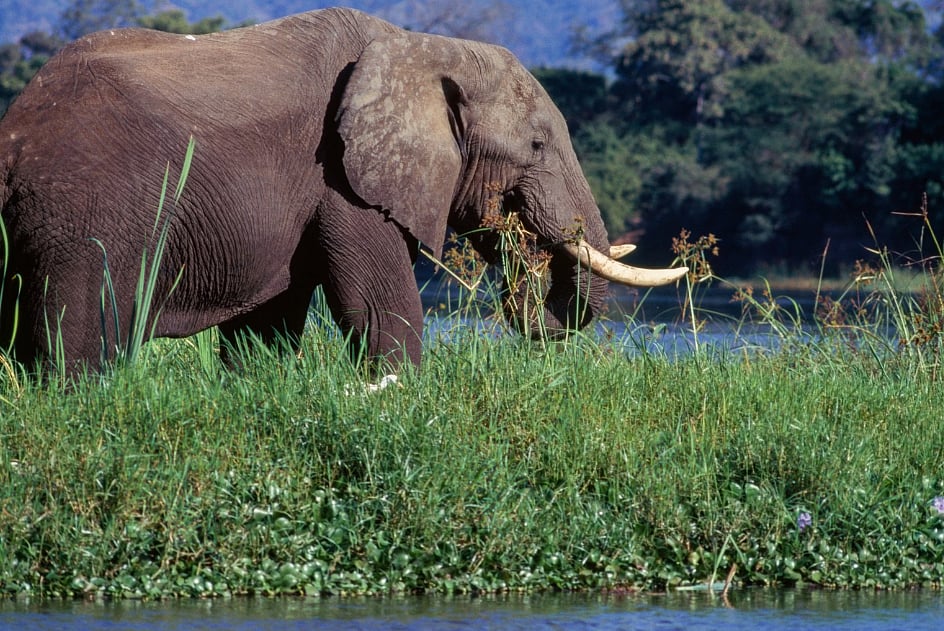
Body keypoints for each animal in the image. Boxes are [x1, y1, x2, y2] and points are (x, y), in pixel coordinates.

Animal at [0, 7, 686, 375]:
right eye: (538, 146)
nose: (525, 254)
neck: (421, 47)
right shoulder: (341, 179)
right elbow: (381, 309)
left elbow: (268, 324)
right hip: (82, 220)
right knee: (78, 342)